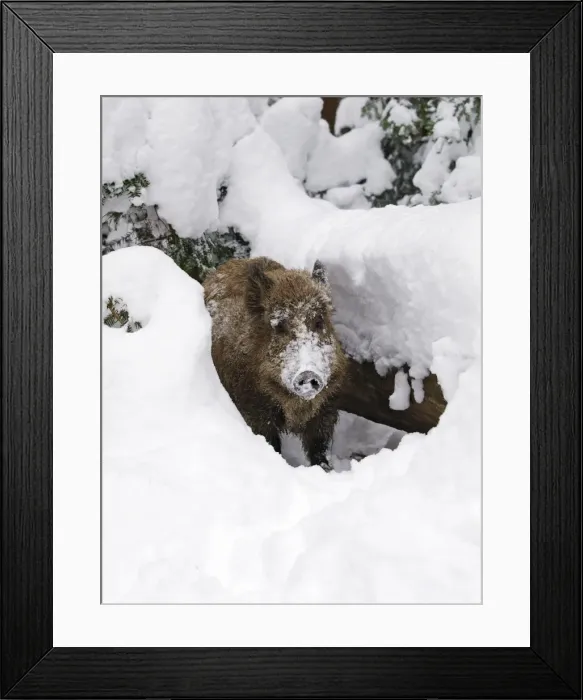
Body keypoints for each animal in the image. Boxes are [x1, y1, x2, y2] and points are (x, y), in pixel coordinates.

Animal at [203, 256, 348, 471]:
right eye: (279, 325)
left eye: (319, 321)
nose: (307, 374)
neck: (295, 409)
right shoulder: (254, 409)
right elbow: (271, 443)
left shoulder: (326, 410)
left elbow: (318, 447)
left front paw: (326, 470)